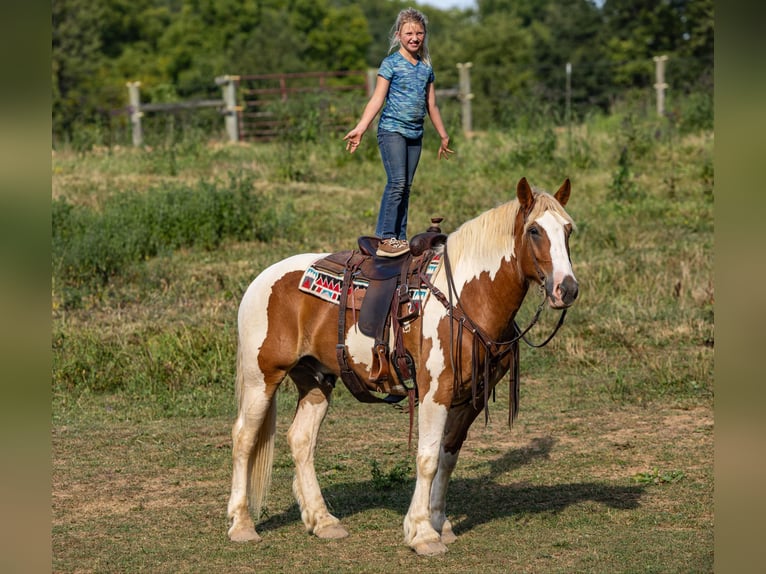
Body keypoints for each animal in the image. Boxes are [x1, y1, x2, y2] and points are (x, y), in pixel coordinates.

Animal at [226, 177, 578, 556]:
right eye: (534, 231)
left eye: (568, 230)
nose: (567, 289)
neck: (467, 297)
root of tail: (262, 279)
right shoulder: (435, 391)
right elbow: (427, 459)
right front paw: (422, 533)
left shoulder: (471, 396)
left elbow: (448, 457)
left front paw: (440, 523)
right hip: (262, 378)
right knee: (244, 437)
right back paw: (242, 524)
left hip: (316, 380)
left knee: (301, 440)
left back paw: (322, 521)